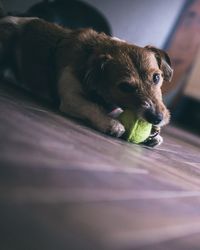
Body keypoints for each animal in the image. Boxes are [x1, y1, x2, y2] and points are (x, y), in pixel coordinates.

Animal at [0, 14, 173, 146]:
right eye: (125, 86)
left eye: (156, 77)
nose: (157, 118)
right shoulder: (70, 98)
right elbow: (91, 106)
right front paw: (109, 123)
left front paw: (153, 134)